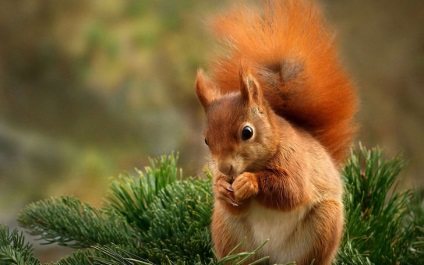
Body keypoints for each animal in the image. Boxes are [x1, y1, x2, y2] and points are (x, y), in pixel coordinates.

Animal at [195, 1, 358, 262]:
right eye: (207, 140)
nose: (225, 169)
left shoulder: (296, 161)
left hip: (324, 225)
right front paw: (220, 187)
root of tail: (270, 256)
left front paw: (249, 182)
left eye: (247, 132)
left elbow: (291, 190)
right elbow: (232, 202)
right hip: (228, 231)